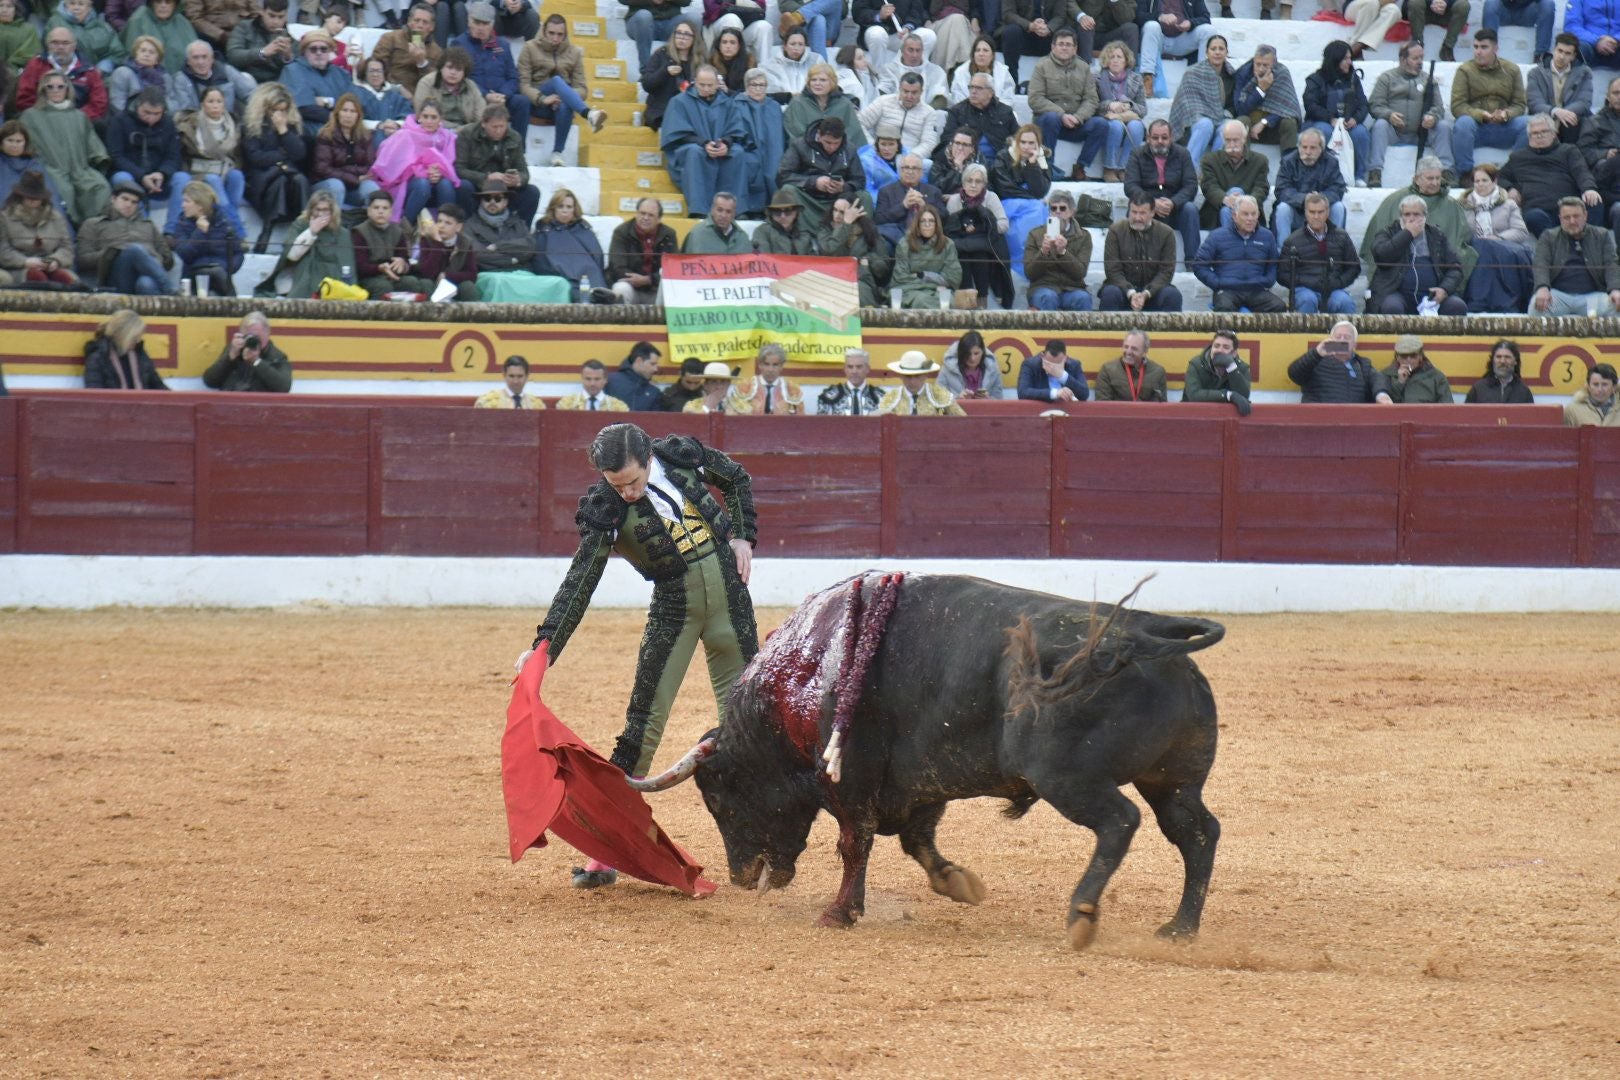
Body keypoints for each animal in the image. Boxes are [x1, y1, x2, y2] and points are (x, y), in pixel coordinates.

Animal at [638, 569, 1218, 952]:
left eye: (719, 800)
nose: (740, 877)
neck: (806, 674)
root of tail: (1143, 633)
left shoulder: (852, 783)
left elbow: (855, 843)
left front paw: (839, 913)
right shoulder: (921, 782)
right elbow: (918, 840)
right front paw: (957, 883)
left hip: (1068, 779)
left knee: (1120, 821)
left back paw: (1081, 915)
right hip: (1171, 781)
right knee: (1197, 832)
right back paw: (1181, 928)